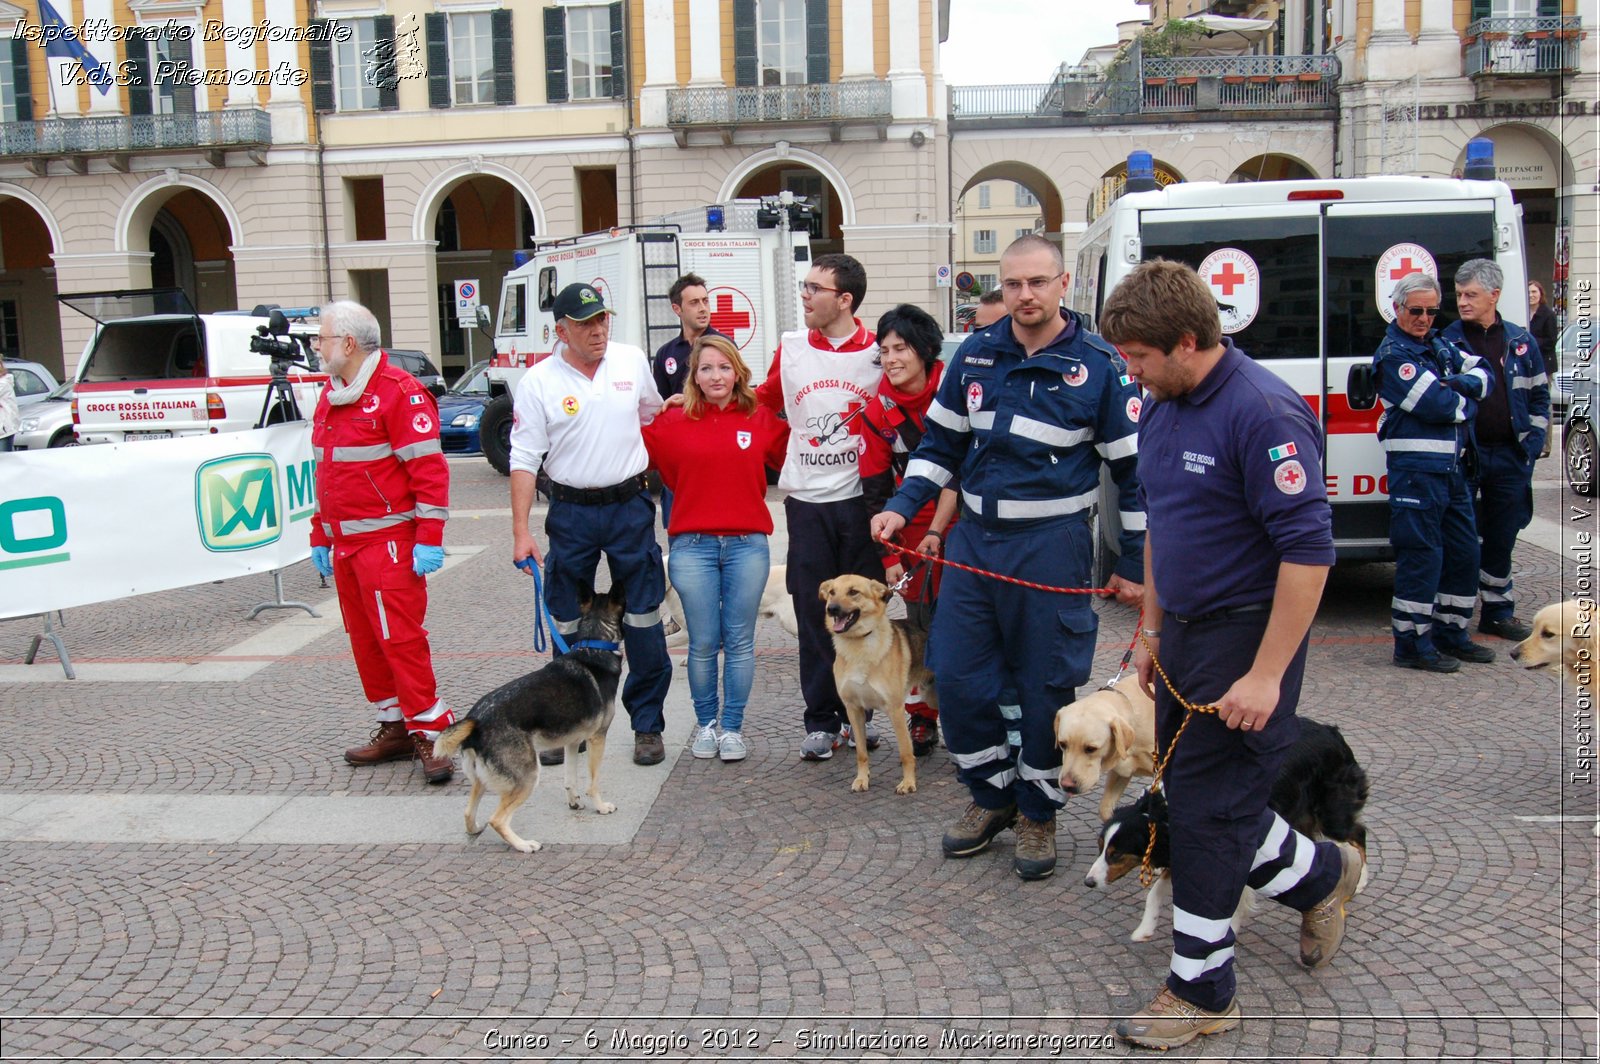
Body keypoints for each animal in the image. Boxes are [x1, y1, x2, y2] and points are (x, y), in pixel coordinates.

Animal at [435, 585, 627, 851]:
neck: (594, 645)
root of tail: (476, 721)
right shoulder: (597, 739)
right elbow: (593, 782)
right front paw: (600, 806)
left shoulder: (572, 742)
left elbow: (570, 779)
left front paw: (574, 802)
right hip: (528, 776)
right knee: (497, 820)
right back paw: (524, 845)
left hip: (483, 779)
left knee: (468, 813)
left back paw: (475, 830)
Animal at [819, 576, 934, 793]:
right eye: (831, 592)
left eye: (853, 592)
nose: (832, 609)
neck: (858, 644)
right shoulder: (853, 710)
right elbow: (861, 753)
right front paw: (862, 779)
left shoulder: (895, 710)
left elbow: (906, 752)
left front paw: (908, 782)